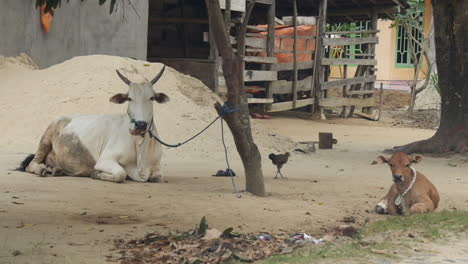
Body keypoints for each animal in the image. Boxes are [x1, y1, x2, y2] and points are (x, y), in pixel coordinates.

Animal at [20, 65, 170, 184]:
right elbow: (120, 174)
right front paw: (96, 174)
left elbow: (159, 178)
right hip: (47, 136)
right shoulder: (105, 159)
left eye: (152, 98)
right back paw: (42, 169)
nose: (140, 125)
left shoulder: (157, 167)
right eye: (129, 98)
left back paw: (55, 169)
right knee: (31, 164)